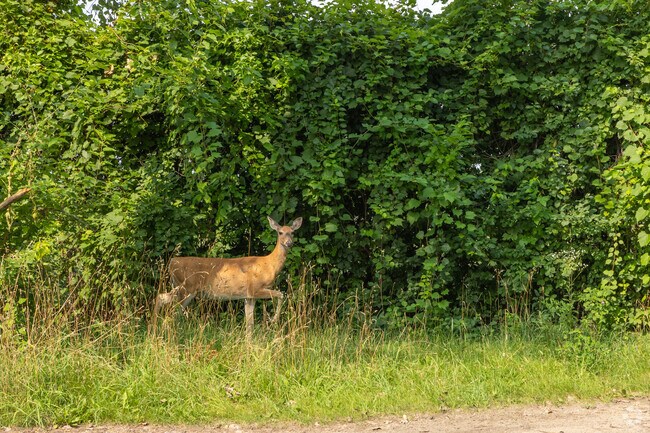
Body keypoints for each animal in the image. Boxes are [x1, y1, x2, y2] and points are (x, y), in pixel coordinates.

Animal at [153, 216, 302, 337]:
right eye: (280, 232)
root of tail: (172, 262)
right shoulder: (255, 289)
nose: (289, 243)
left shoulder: (248, 296)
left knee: (164, 301)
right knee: (169, 307)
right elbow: (281, 294)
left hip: (182, 288)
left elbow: (249, 324)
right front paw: (273, 319)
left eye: (292, 232)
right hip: (187, 288)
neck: (269, 265)